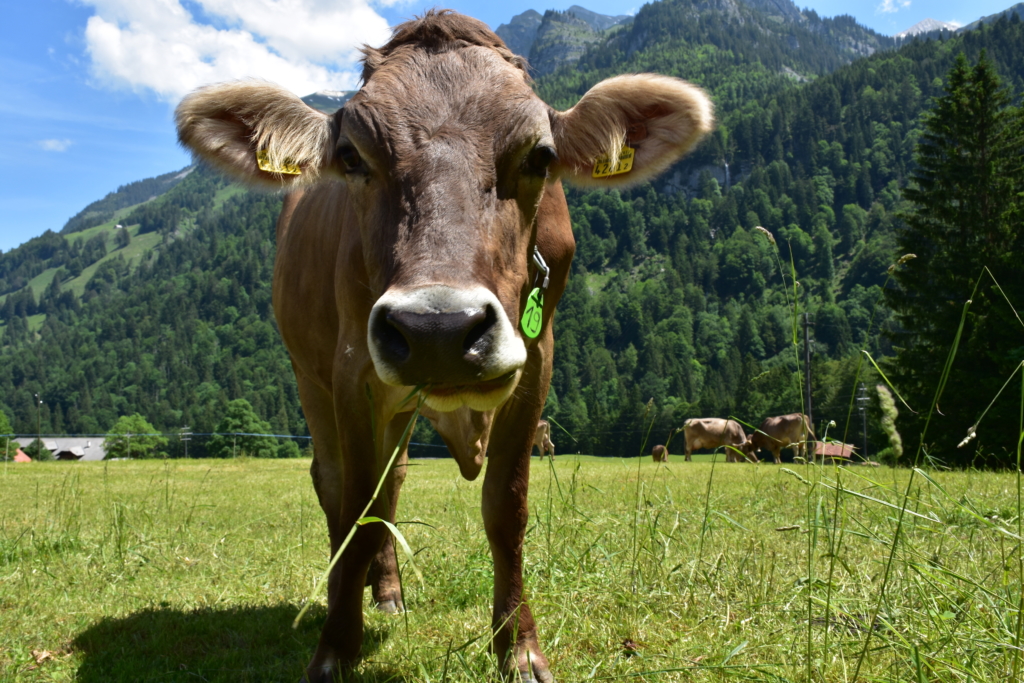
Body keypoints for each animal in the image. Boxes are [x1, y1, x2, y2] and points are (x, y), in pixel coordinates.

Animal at [175, 11, 712, 683]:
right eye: (351, 156)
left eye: (540, 156)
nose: (439, 330)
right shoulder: (352, 369)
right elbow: (357, 505)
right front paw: (335, 647)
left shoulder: (536, 360)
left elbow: (505, 508)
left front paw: (519, 649)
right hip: (312, 374)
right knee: (337, 484)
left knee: (394, 480)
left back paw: (387, 592)